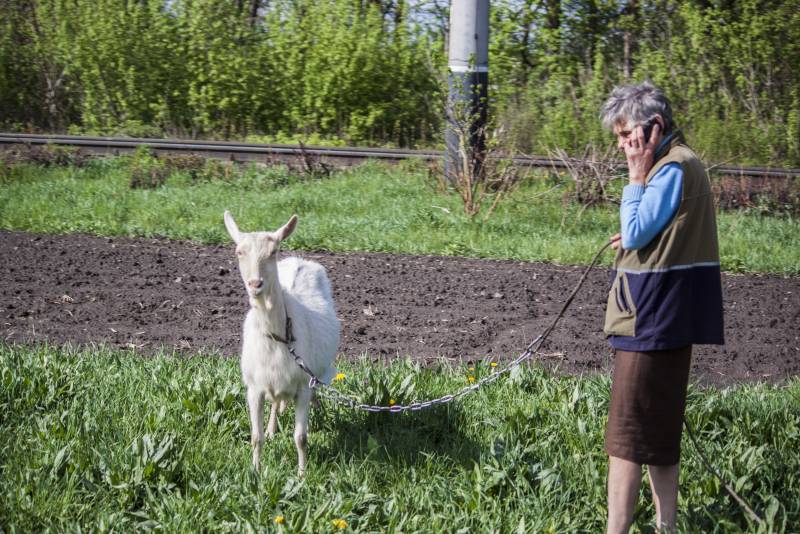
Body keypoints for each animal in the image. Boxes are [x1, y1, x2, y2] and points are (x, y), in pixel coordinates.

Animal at [223, 211, 340, 476]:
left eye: (273, 251)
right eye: (238, 252)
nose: (255, 284)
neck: (279, 337)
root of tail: (300, 260)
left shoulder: (304, 385)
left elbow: (301, 438)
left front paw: (302, 474)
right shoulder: (254, 387)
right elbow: (255, 437)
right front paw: (255, 471)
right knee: (275, 404)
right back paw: (272, 428)